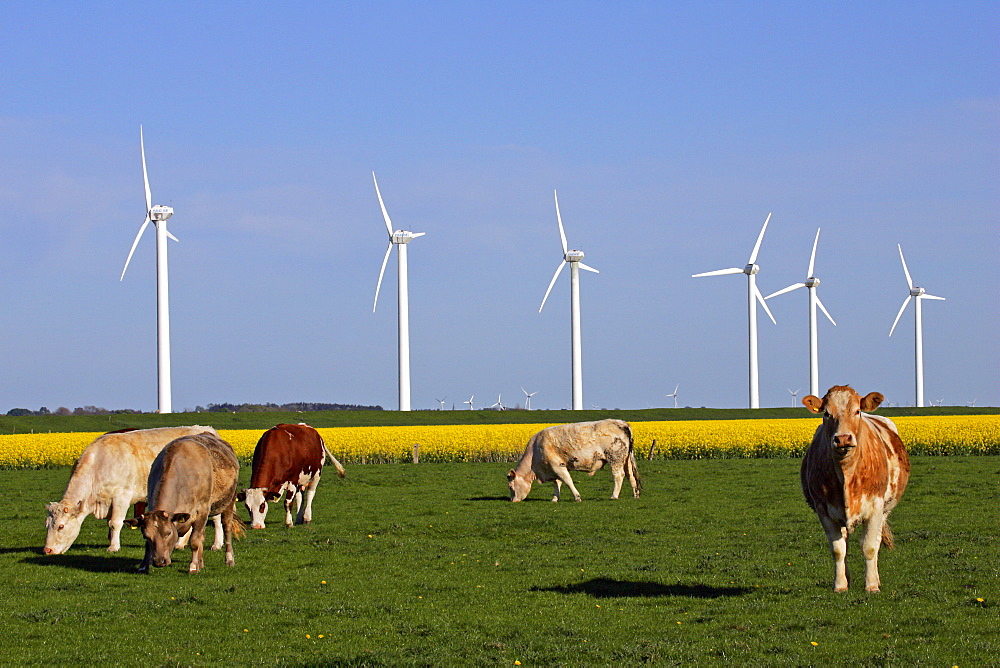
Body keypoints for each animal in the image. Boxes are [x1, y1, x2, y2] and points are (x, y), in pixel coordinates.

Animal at [44, 426, 222, 556]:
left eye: (60, 526)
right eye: (47, 525)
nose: (47, 550)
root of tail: (207, 430)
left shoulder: (121, 497)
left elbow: (115, 523)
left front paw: (113, 547)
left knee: (216, 518)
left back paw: (217, 544)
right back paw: (180, 544)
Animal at [124, 434, 244, 576]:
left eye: (168, 533)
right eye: (146, 535)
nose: (159, 561)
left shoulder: (202, 510)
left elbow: (195, 541)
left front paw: (193, 566)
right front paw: (143, 566)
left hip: (229, 502)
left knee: (226, 528)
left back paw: (229, 559)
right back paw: (201, 562)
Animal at [508, 418, 640, 500]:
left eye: (510, 487)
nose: (512, 500)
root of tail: (621, 423)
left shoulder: (557, 465)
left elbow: (567, 481)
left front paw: (577, 497)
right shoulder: (555, 469)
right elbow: (557, 483)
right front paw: (555, 498)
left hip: (615, 458)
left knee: (619, 476)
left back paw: (614, 495)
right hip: (626, 459)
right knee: (630, 475)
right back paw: (636, 495)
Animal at [800, 386, 912, 596]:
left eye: (857, 411)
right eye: (826, 413)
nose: (843, 438)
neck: (847, 473)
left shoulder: (876, 507)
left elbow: (869, 546)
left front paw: (871, 585)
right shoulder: (823, 510)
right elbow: (838, 549)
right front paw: (840, 585)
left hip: (885, 510)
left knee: (876, 541)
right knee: (845, 541)